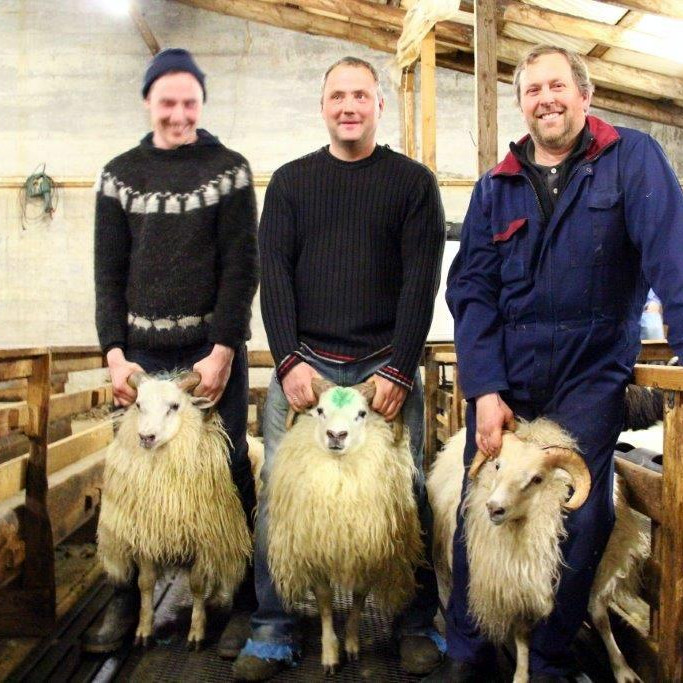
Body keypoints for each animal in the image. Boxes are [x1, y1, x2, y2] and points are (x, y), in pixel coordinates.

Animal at [97, 371, 252, 649]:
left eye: (175, 406)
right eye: (139, 405)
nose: (146, 437)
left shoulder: (203, 539)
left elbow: (197, 585)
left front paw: (196, 632)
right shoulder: (146, 537)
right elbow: (145, 584)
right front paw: (144, 629)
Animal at [266, 378, 424, 673]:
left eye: (361, 413)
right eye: (319, 410)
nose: (336, 435)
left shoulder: (368, 553)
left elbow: (359, 597)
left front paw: (351, 643)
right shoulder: (316, 552)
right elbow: (326, 600)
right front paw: (330, 653)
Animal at [427, 418, 648, 683]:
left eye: (537, 479)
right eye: (498, 465)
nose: (494, 508)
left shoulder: (596, 573)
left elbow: (600, 617)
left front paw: (622, 668)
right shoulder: (515, 584)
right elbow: (522, 635)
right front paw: (521, 674)